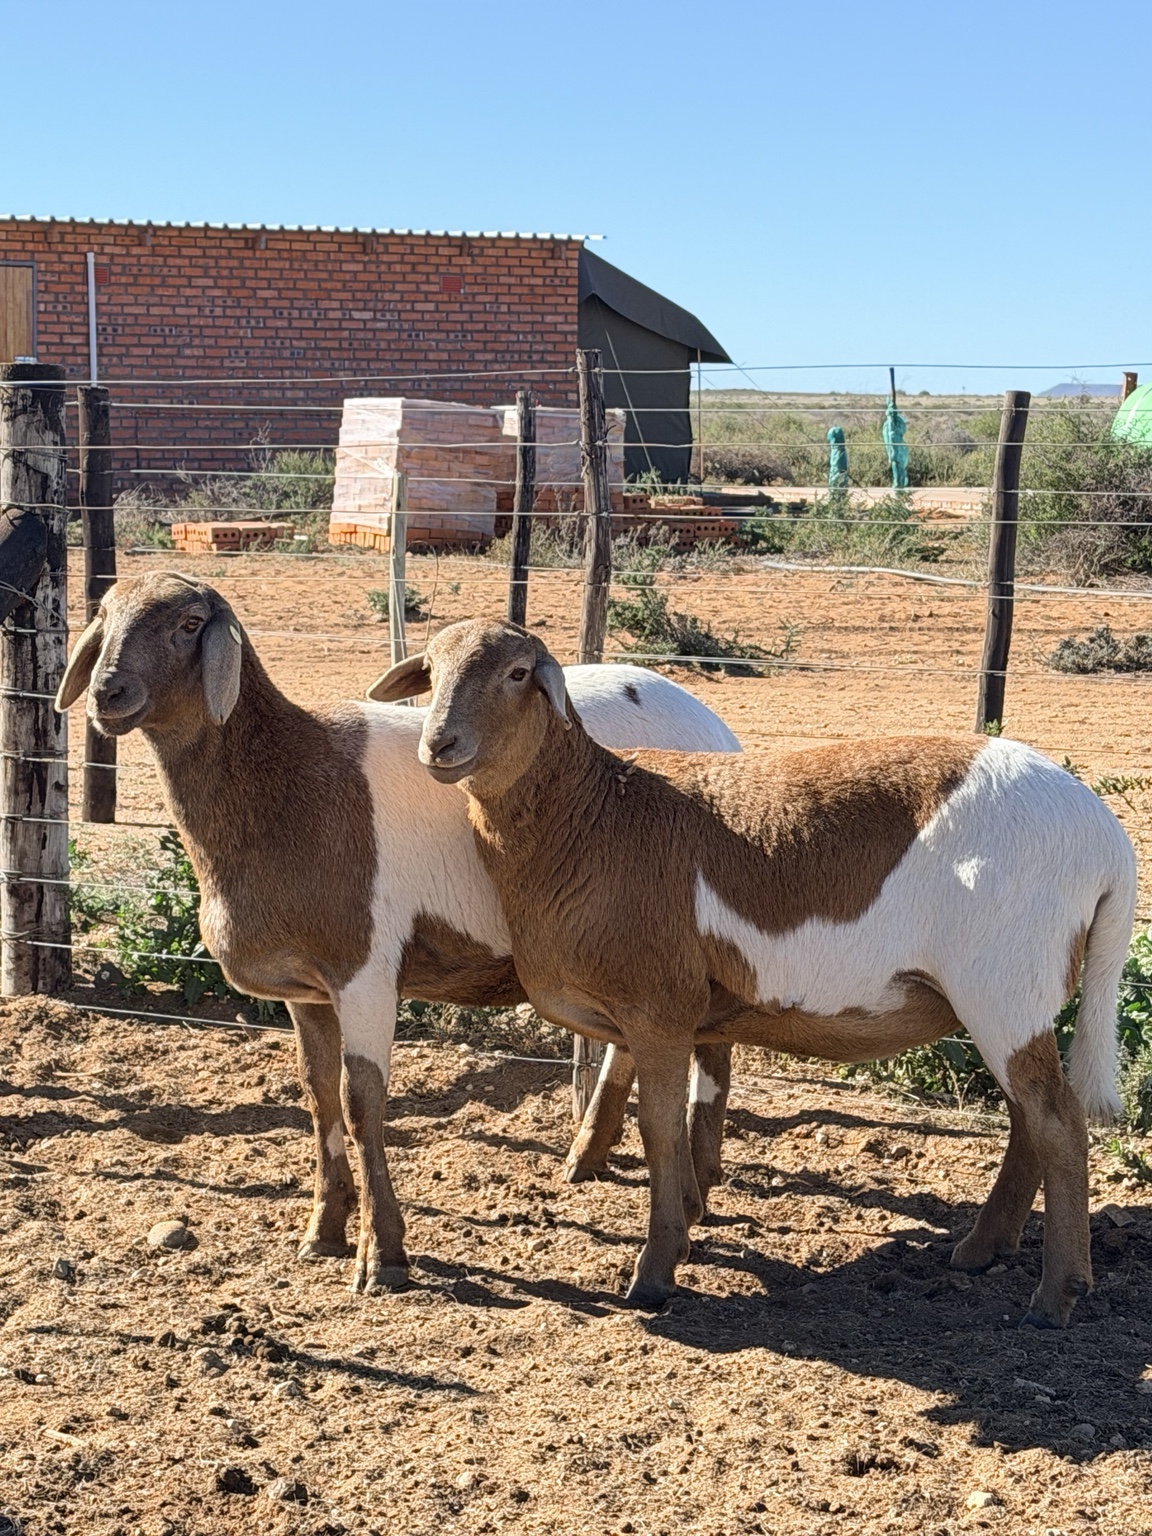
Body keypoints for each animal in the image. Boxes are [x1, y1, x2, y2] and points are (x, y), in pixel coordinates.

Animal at [54, 573, 740, 1294]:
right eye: (104, 613)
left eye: (189, 623)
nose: (108, 694)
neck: (284, 783)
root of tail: (711, 722)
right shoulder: (305, 988)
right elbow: (318, 1095)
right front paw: (323, 1231)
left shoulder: (364, 973)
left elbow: (361, 1103)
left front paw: (381, 1254)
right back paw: (590, 1158)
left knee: (708, 1046)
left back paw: (695, 1191)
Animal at [374, 617, 1138, 1327]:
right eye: (431, 671)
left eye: (517, 673)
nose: (439, 746)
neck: (593, 816)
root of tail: (1108, 840)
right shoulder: (676, 1010)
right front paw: (684, 1228)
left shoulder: (658, 1007)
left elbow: (660, 1128)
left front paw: (655, 1273)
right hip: (1010, 997)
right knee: (1028, 1116)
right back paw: (983, 1248)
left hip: (1005, 982)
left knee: (1058, 1121)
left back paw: (1056, 1294)